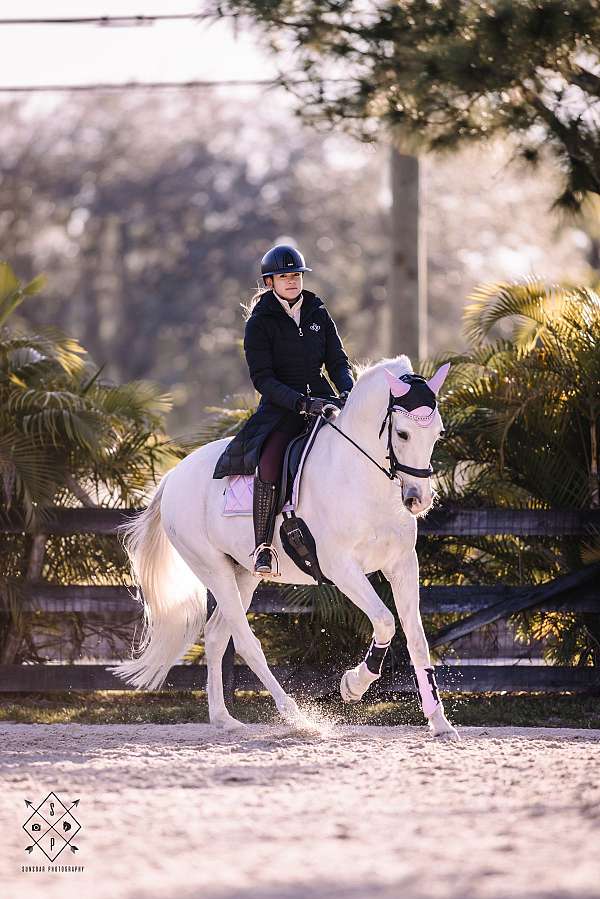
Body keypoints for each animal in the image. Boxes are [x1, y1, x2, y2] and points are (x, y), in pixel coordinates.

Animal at [109, 356, 460, 740]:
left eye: (438, 433)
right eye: (403, 434)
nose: (418, 499)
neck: (362, 477)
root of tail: (173, 477)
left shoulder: (402, 564)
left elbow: (416, 639)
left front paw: (440, 723)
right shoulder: (341, 567)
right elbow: (384, 621)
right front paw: (353, 685)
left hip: (244, 574)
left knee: (216, 637)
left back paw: (224, 719)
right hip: (213, 569)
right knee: (245, 642)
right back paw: (298, 718)